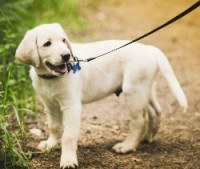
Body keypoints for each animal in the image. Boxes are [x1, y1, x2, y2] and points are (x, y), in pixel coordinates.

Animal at [15, 23, 188, 168]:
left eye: (64, 40)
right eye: (47, 44)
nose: (66, 55)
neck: (51, 78)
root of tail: (148, 48)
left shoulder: (72, 107)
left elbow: (68, 136)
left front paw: (68, 160)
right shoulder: (49, 104)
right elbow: (54, 126)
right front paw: (50, 144)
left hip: (134, 91)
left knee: (140, 120)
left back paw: (128, 146)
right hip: (146, 88)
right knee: (155, 111)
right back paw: (147, 137)